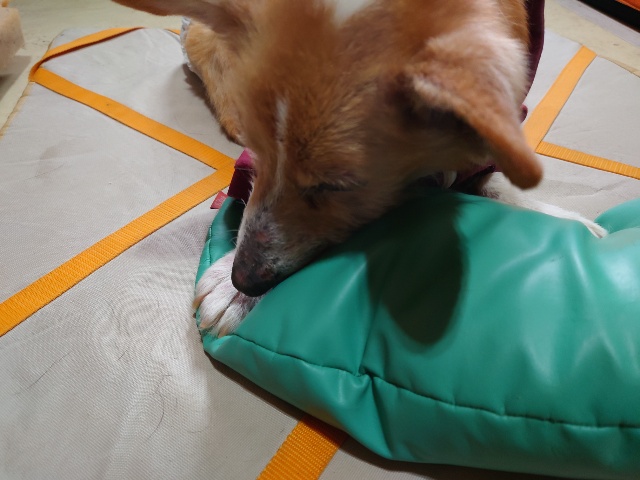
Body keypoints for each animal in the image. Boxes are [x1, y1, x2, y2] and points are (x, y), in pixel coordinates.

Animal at [115, 0, 606, 336]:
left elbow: (505, 185)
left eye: (336, 186)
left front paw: (579, 224)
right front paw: (231, 291)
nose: (243, 279)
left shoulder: (492, 136)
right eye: (257, 153)